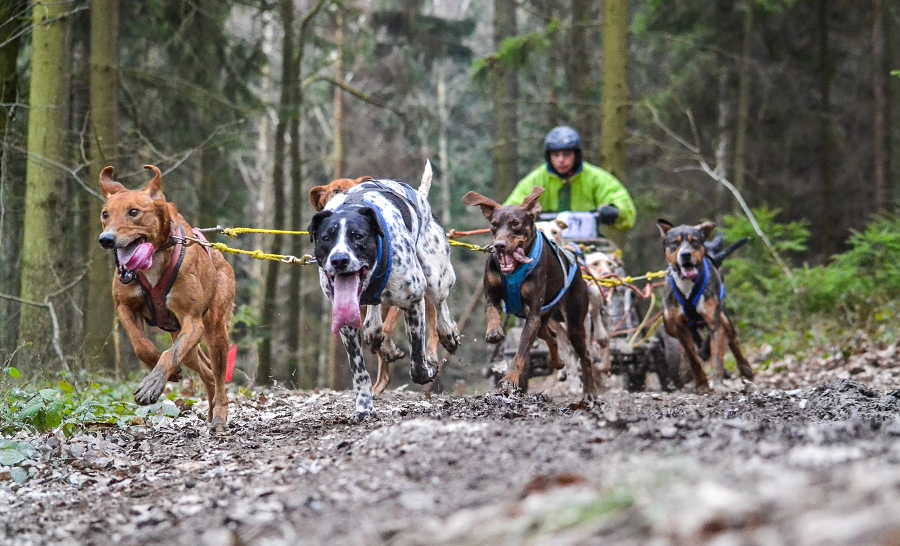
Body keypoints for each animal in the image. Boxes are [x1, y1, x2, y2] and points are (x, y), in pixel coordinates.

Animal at [98, 166, 236, 430]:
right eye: (105, 214)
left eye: (134, 212)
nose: (106, 239)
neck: (155, 259)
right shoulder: (125, 307)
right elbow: (142, 347)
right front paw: (165, 373)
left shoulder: (192, 320)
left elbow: (168, 354)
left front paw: (154, 381)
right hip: (185, 342)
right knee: (206, 372)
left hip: (215, 331)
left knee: (218, 376)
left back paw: (220, 416)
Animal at [312, 159, 464, 418]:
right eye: (326, 238)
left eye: (358, 236)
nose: (339, 260)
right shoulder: (346, 321)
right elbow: (359, 371)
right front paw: (363, 407)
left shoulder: (413, 302)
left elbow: (418, 362)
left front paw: (429, 368)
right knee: (375, 311)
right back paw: (374, 328)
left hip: (435, 275)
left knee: (440, 301)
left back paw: (447, 331)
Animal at [464, 184, 596, 400]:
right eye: (494, 224)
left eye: (516, 223)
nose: (499, 245)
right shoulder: (491, 296)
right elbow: (491, 312)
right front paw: (494, 331)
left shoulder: (532, 315)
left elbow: (519, 354)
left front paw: (509, 379)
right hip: (546, 317)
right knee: (550, 334)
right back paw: (557, 361)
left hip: (574, 321)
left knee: (584, 355)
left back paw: (590, 392)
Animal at [656, 218, 756, 392]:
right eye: (675, 243)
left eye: (694, 241)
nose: (685, 254)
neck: (688, 284)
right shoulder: (680, 327)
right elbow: (692, 357)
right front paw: (701, 384)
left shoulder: (715, 322)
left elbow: (717, 355)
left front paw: (718, 384)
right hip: (669, 324)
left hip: (725, 318)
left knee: (733, 340)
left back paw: (745, 369)